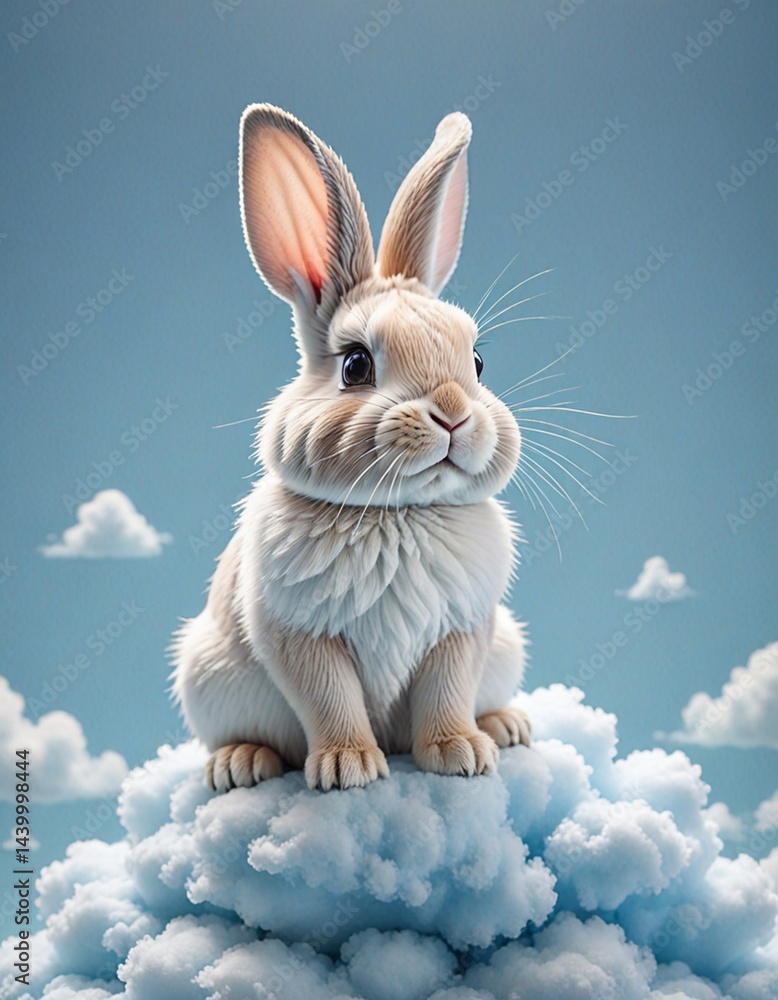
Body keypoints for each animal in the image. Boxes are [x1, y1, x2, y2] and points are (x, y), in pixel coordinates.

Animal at [171, 103, 531, 793]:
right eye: (356, 365)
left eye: (477, 361)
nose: (453, 413)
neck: (399, 513)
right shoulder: (299, 636)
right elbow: (328, 698)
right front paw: (348, 769)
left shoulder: (463, 631)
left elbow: (446, 694)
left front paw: (461, 755)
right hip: (208, 674)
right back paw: (240, 764)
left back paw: (505, 727)